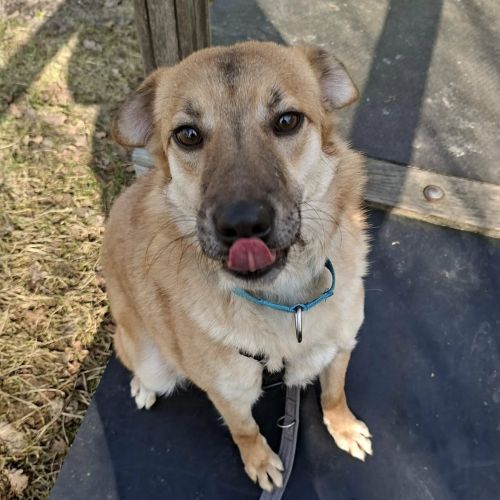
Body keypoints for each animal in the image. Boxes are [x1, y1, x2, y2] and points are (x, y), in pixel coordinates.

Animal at [101, 41, 371, 492]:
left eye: (287, 121)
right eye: (188, 135)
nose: (242, 223)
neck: (288, 303)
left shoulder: (342, 346)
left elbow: (334, 393)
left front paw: (344, 426)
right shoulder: (228, 391)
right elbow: (244, 429)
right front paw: (260, 461)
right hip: (150, 357)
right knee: (133, 360)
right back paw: (143, 386)